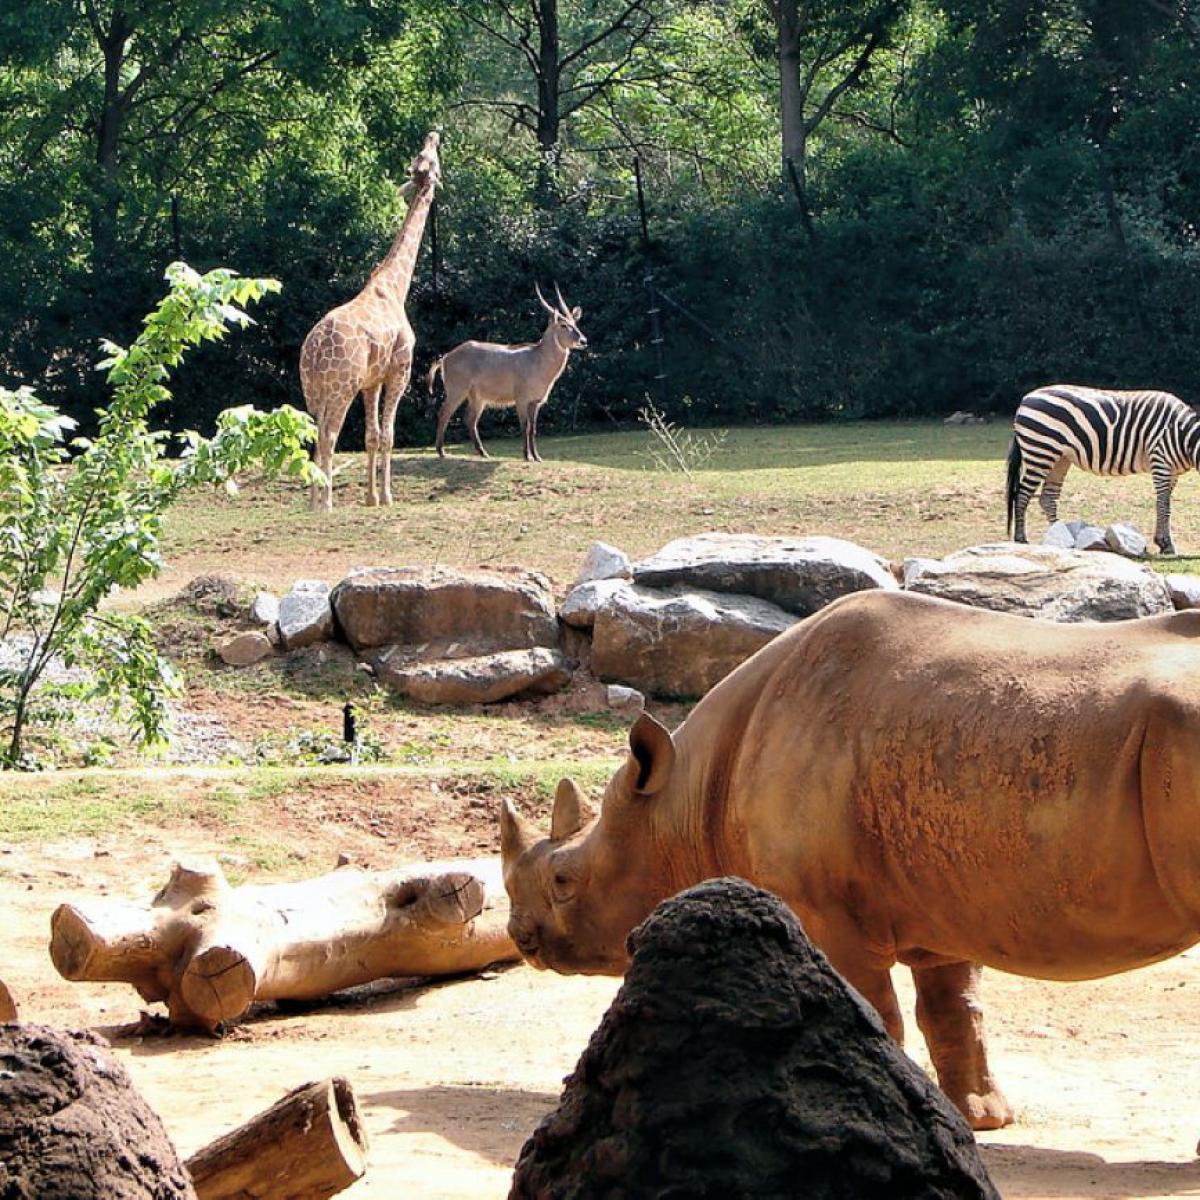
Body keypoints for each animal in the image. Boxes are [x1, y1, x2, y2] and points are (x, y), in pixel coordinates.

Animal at [302, 131, 444, 511]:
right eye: (430, 156)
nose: (434, 133)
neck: (394, 287)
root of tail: (314, 349)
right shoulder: (400, 371)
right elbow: (389, 435)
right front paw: (389, 496)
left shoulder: (372, 380)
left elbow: (372, 435)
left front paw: (371, 497)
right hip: (341, 387)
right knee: (328, 435)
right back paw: (325, 504)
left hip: (312, 389)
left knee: (313, 433)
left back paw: (313, 500)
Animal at [429, 283, 588, 460]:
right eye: (563, 325)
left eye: (575, 322)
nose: (583, 341)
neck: (537, 358)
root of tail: (445, 357)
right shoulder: (521, 400)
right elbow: (525, 426)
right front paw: (527, 456)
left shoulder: (535, 402)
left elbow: (533, 429)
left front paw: (537, 457)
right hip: (457, 391)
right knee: (444, 413)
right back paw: (441, 452)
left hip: (478, 398)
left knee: (470, 419)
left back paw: (483, 453)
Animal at [1003, 381, 1200, 554]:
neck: (1183, 435)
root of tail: (1026, 399)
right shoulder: (1160, 461)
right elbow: (1164, 505)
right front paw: (1166, 544)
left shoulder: (1172, 471)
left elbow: (1163, 503)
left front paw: (1163, 542)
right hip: (1040, 452)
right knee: (1021, 495)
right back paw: (1021, 539)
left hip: (1059, 458)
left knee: (1047, 498)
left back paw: (1062, 538)